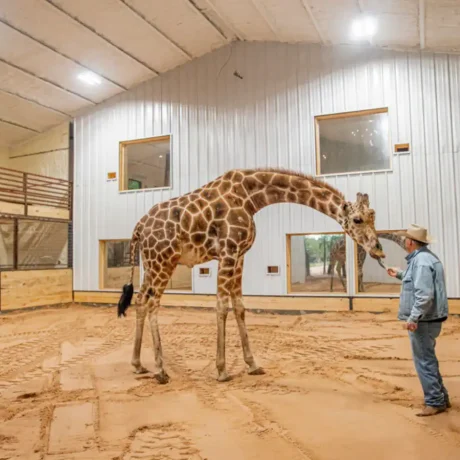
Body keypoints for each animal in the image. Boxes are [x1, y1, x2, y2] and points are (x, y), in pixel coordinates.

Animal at [117, 167, 384, 382]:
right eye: (357, 219)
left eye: (374, 216)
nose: (378, 249)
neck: (251, 197)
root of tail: (139, 226)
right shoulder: (227, 252)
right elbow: (222, 306)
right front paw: (222, 370)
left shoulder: (240, 255)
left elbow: (240, 306)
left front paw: (253, 364)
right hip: (164, 260)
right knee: (153, 303)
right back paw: (161, 370)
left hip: (151, 263)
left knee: (141, 300)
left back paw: (138, 364)